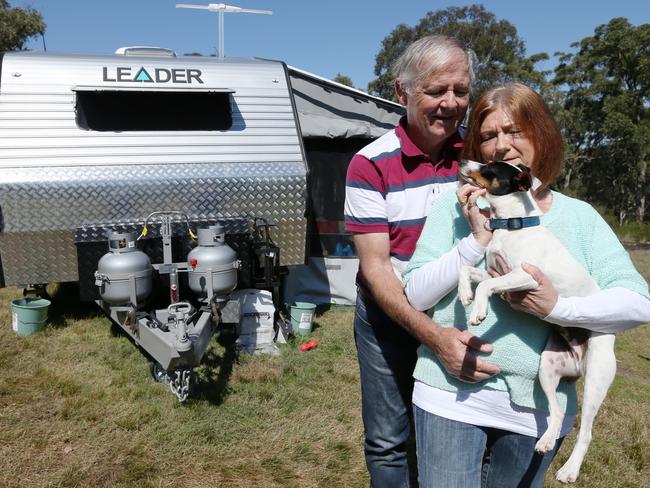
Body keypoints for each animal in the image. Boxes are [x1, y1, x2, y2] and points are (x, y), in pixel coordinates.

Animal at [456, 161, 612, 484]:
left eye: (489, 168)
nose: (463, 161)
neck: (512, 225)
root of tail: (578, 366)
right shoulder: (497, 273)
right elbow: (467, 271)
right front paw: (465, 294)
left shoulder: (526, 277)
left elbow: (485, 287)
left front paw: (478, 311)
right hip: (547, 370)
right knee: (556, 412)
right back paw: (546, 441)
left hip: (596, 380)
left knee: (586, 431)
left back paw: (569, 470)